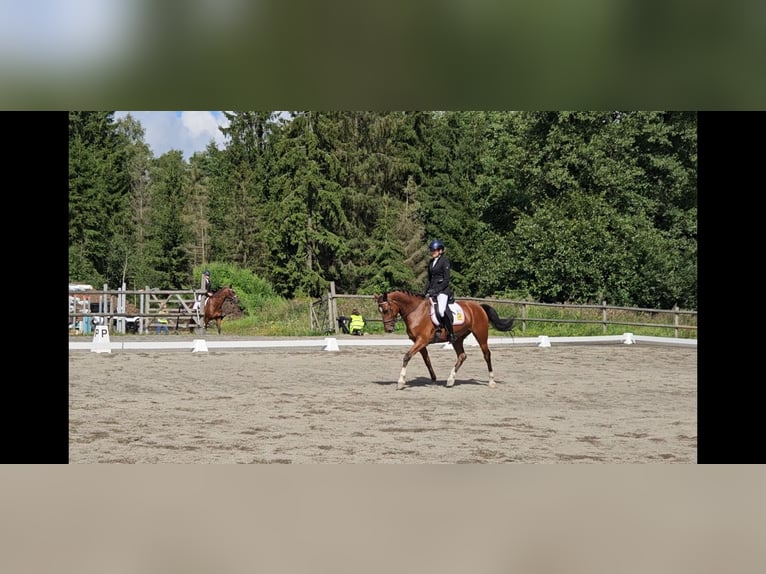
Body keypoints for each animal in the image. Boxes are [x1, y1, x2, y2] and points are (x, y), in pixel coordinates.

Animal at [374, 292, 516, 392]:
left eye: (386, 310)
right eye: (379, 311)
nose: (388, 329)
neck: (416, 311)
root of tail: (478, 306)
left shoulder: (422, 340)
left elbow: (407, 356)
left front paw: (400, 382)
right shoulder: (419, 342)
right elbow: (427, 361)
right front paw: (434, 380)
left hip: (481, 334)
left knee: (487, 354)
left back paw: (491, 381)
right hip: (457, 338)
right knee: (462, 356)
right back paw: (450, 380)